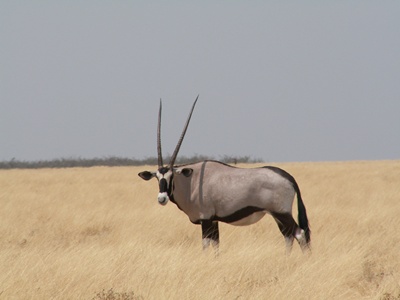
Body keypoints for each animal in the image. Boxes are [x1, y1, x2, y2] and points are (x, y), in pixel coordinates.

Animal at [139, 98, 310, 253]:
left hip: (281, 213)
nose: (162, 198)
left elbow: (205, 245)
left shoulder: (206, 219)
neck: (191, 181)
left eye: (171, 176)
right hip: (277, 215)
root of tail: (289, 178)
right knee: (288, 236)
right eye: (157, 177)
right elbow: (216, 245)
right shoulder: (214, 221)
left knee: (299, 234)